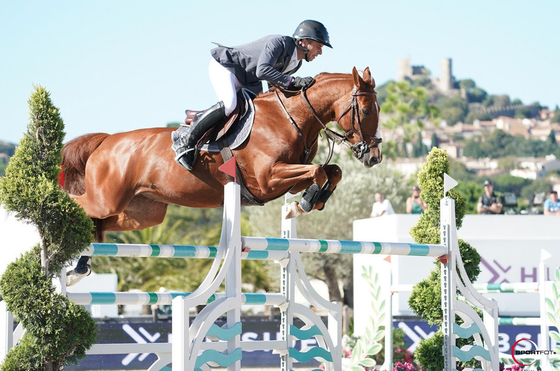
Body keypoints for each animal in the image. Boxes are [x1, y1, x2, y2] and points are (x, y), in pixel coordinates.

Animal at [63, 66, 382, 244]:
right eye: (366, 110)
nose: (374, 157)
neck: (289, 117)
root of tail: (106, 141)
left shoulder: (288, 177)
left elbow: (332, 171)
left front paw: (308, 202)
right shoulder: (267, 180)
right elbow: (318, 171)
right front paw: (301, 206)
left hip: (144, 212)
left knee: (100, 223)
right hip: (106, 199)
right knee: (77, 205)